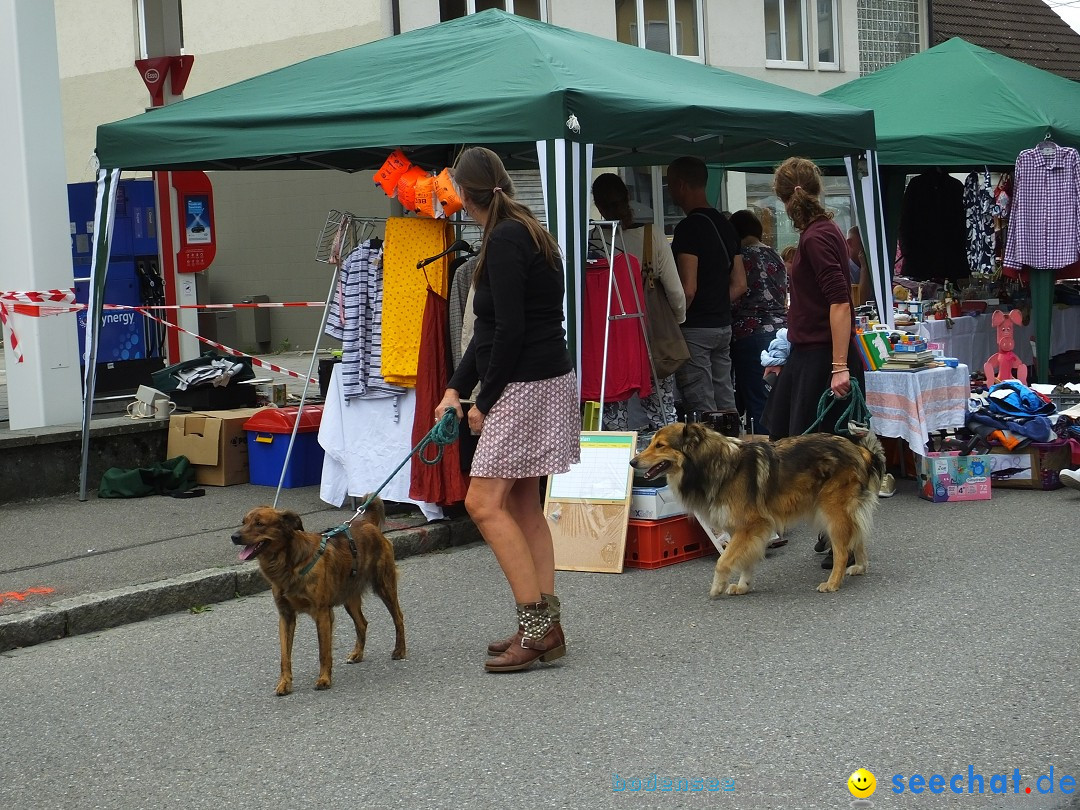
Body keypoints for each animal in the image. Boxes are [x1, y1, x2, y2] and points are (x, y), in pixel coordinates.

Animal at [630, 427, 885, 600]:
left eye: (660, 445)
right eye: (651, 443)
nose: (632, 462)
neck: (716, 465)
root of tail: (858, 449)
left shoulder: (752, 525)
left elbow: (723, 561)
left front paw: (718, 587)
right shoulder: (742, 530)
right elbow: (744, 560)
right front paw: (743, 586)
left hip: (832, 513)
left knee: (842, 551)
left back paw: (833, 582)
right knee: (858, 538)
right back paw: (860, 567)